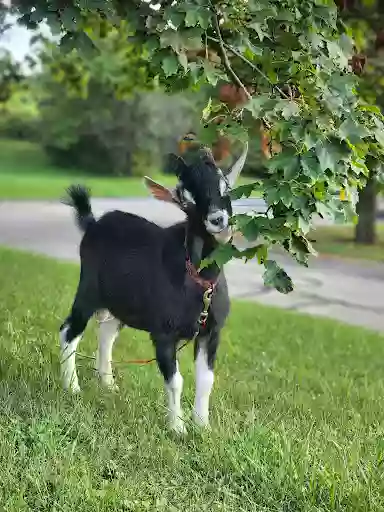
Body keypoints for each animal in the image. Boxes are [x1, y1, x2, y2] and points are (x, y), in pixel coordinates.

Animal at [59, 143, 246, 432]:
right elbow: (176, 381)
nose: (218, 220)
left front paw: (202, 426)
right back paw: (72, 387)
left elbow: (206, 380)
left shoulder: (211, 332)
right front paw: (178, 428)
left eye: (225, 186)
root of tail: (93, 223)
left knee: (107, 333)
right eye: (185, 199)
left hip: (122, 302)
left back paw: (108, 384)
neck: (198, 280)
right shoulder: (163, 333)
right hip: (89, 290)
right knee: (69, 330)